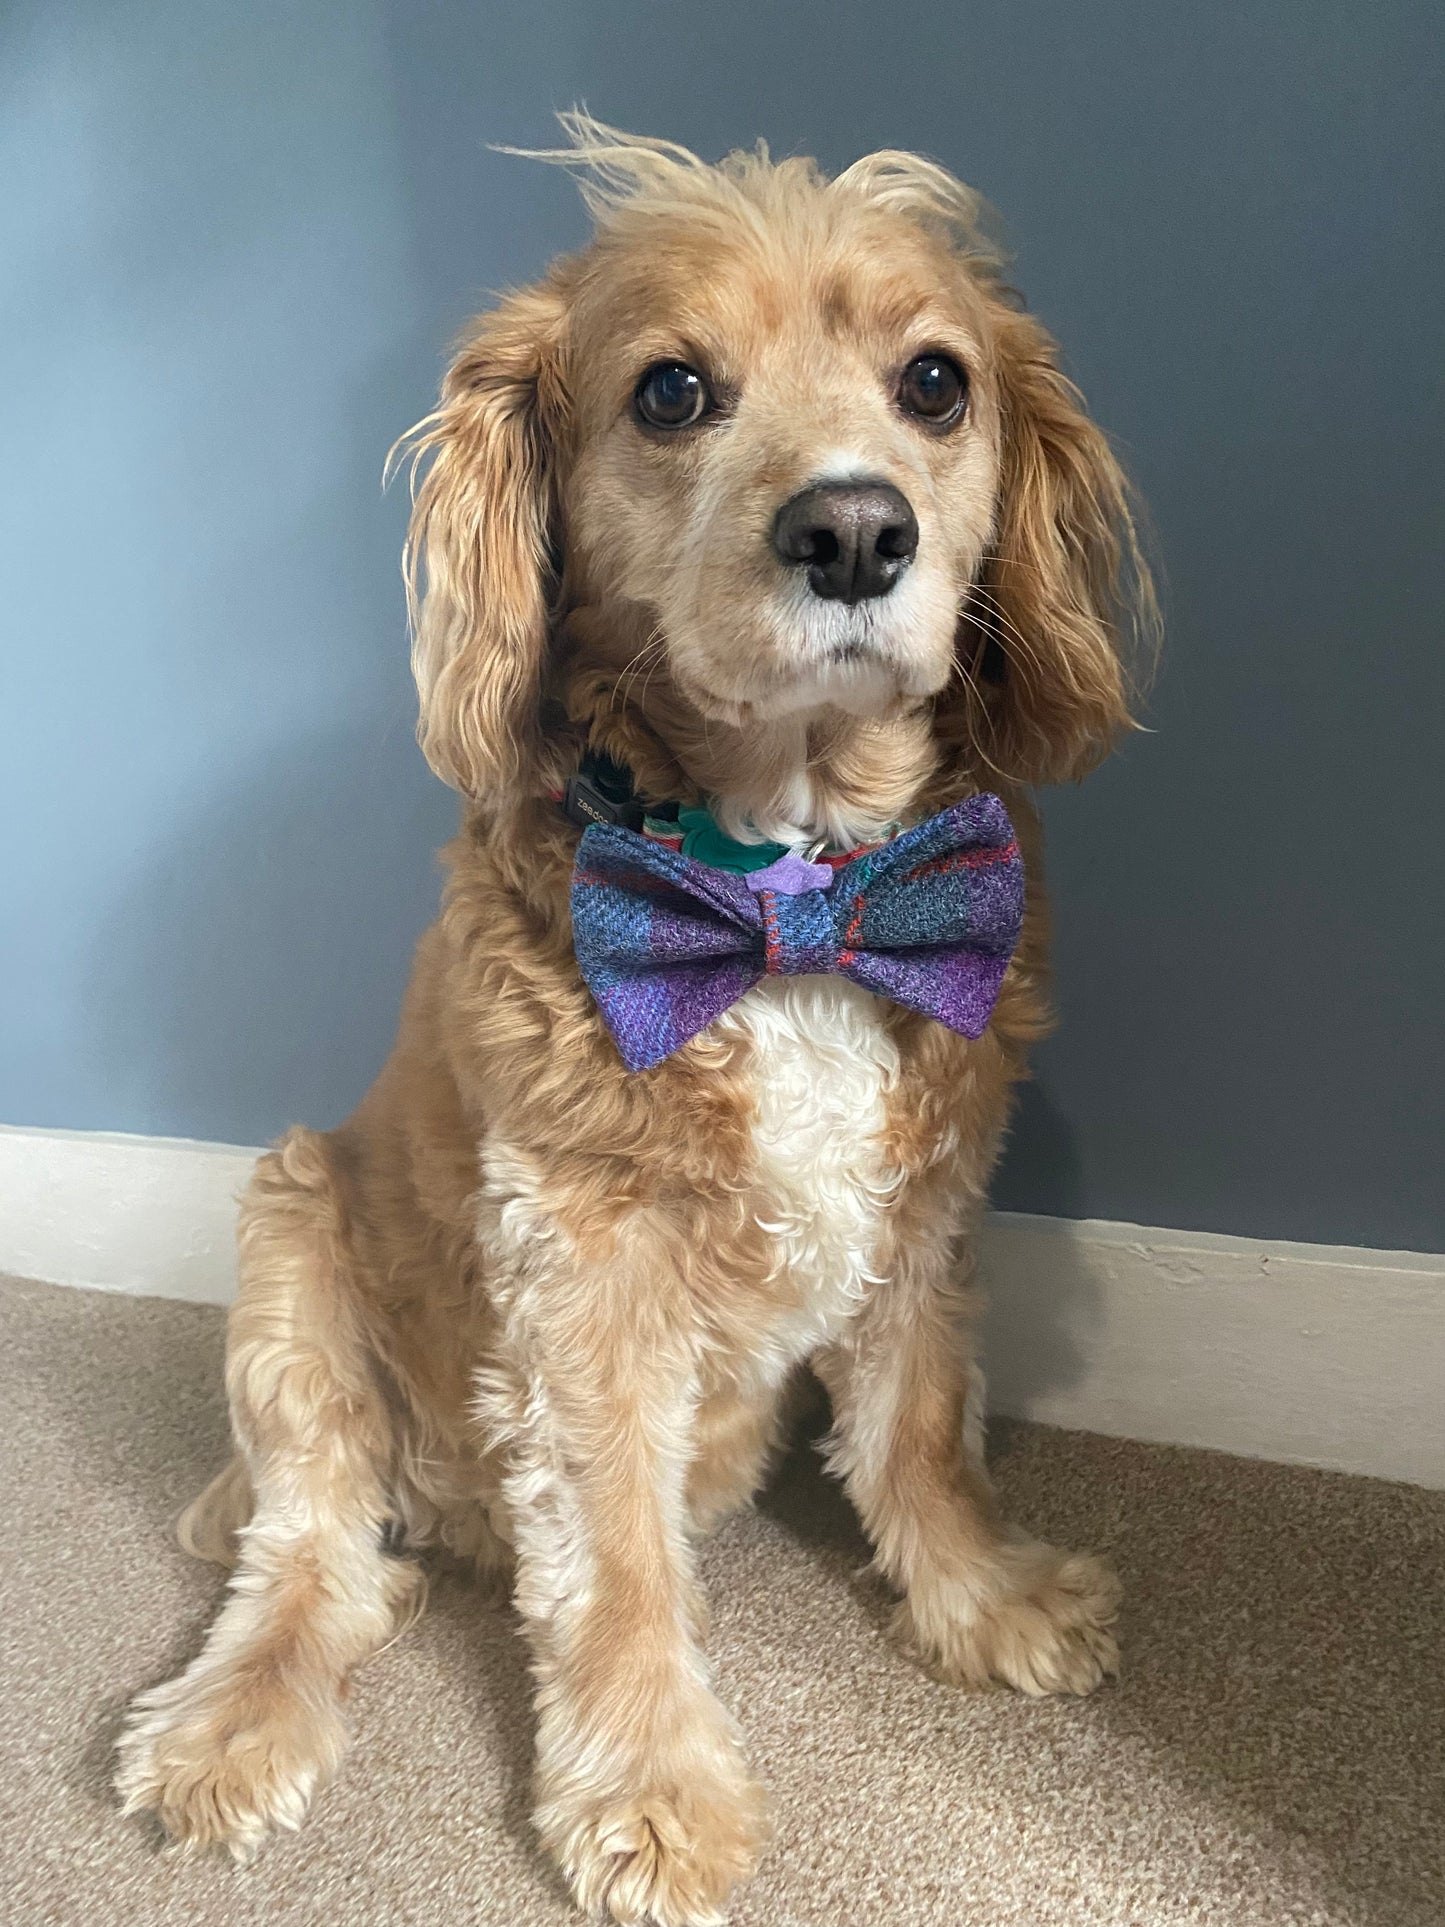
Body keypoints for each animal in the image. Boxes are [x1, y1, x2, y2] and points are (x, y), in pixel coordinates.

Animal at [116, 112, 1156, 1919]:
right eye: (671, 390)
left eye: (936, 382)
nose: (856, 529)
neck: (791, 899)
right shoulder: (581, 1272)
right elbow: (614, 1562)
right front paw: (651, 1787)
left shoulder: (924, 1205)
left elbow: (919, 1429)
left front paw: (982, 1599)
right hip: (292, 1238)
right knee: (308, 1553)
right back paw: (231, 1723)